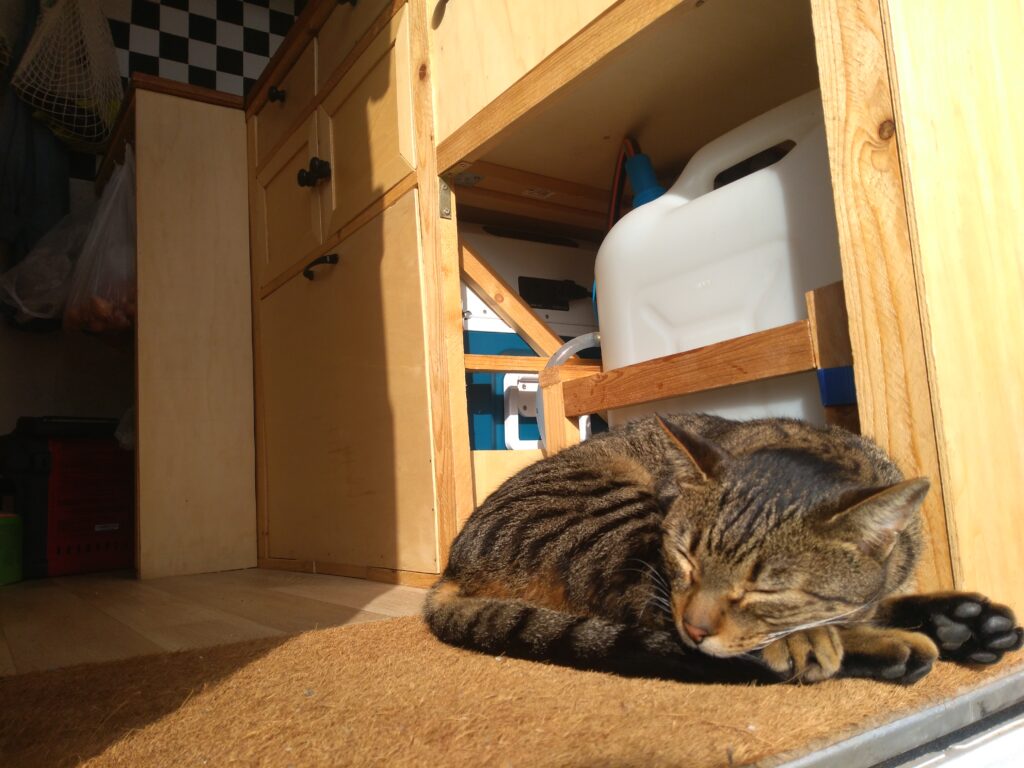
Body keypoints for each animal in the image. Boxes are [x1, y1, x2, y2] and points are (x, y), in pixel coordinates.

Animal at [425, 413, 1022, 684]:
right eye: (685, 557)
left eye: (769, 589)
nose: (697, 624)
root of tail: (451, 566)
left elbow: (868, 603)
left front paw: (959, 620)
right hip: (620, 523)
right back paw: (895, 647)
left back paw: (957, 624)